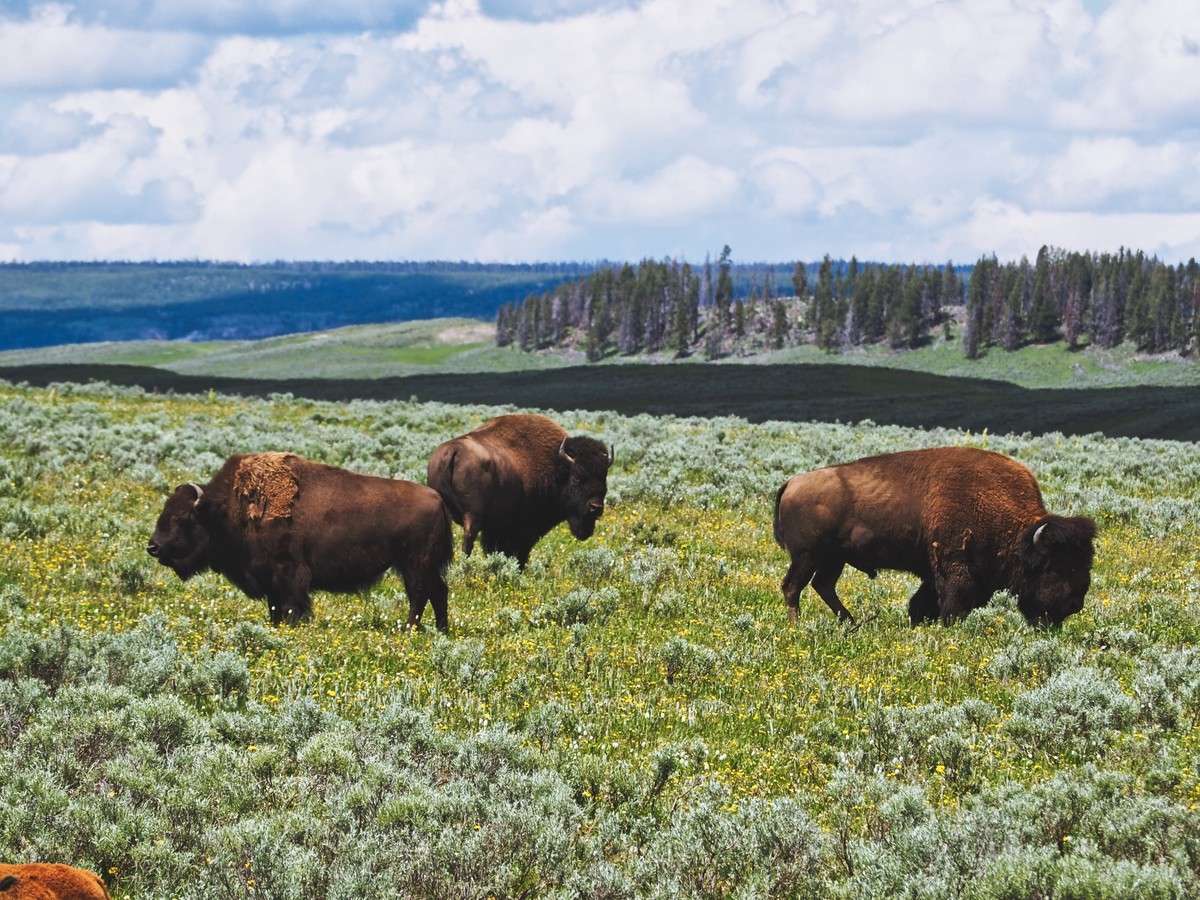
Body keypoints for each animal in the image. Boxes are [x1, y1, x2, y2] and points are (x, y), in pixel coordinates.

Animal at [148, 452, 453, 630]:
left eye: (182, 518)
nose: (153, 547)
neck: (225, 509)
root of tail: (438, 499)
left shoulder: (287, 575)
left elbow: (291, 606)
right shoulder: (269, 580)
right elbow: (274, 608)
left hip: (414, 564)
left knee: (419, 595)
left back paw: (409, 629)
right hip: (424, 566)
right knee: (439, 591)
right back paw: (441, 630)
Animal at [427, 413, 612, 567]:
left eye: (604, 478)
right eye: (576, 478)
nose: (596, 507)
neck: (555, 466)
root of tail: (454, 450)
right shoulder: (523, 530)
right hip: (472, 516)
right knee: (468, 541)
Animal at [773, 446, 1096, 626]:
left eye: (1084, 563)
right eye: (1054, 568)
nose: (1075, 604)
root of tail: (792, 482)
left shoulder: (934, 573)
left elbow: (920, 604)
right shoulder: (954, 568)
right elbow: (953, 606)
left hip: (833, 559)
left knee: (822, 586)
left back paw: (849, 622)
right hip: (808, 556)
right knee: (793, 587)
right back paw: (798, 628)